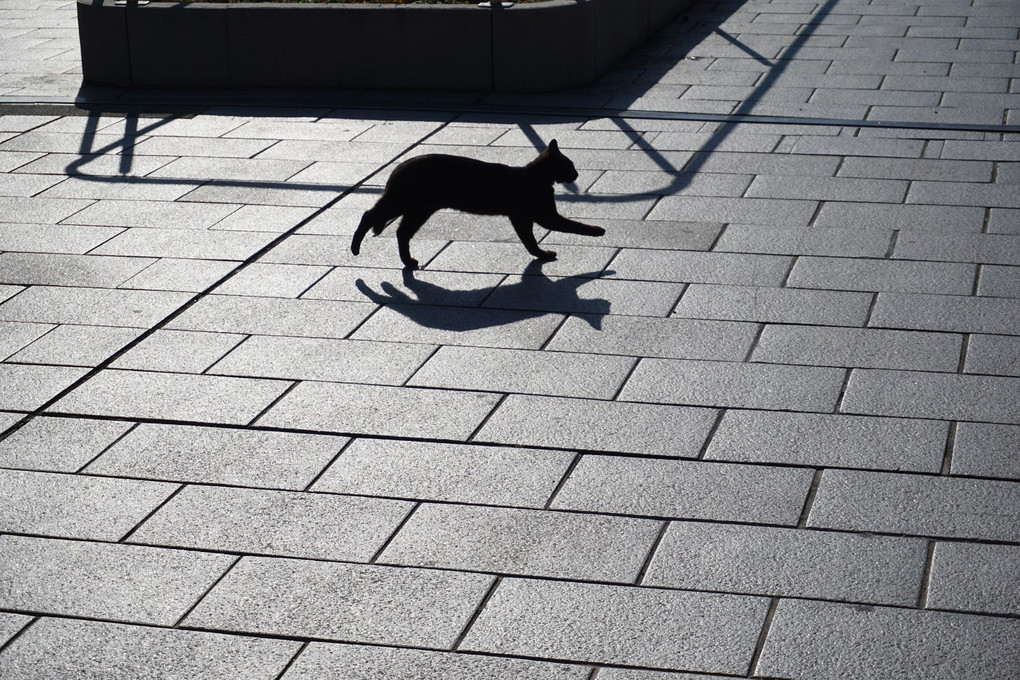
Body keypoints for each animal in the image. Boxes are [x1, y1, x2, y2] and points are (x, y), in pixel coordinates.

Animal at [350, 139, 603, 269]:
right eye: (570, 165)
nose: (577, 174)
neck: (535, 176)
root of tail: (398, 166)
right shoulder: (545, 216)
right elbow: (575, 225)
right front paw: (598, 230)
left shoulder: (521, 218)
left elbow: (529, 241)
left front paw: (540, 254)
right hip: (405, 202)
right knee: (369, 214)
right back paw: (355, 248)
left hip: (419, 210)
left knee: (401, 232)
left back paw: (408, 261)